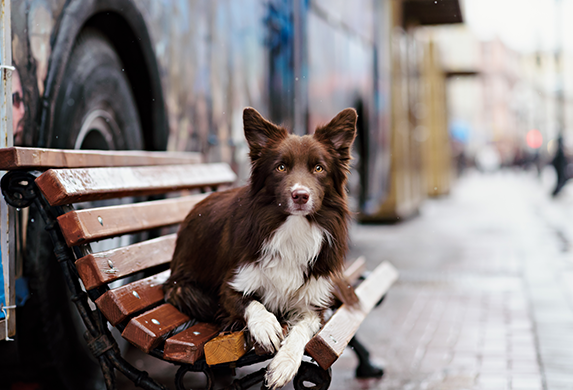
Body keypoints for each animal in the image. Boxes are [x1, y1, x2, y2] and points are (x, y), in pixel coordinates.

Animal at [163, 106, 356, 386]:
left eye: (319, 168)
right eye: (281, 167)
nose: (300, 196)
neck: (292, 229)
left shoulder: (315, 304)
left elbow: (301, 328)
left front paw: (285, 364)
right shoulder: (231, 286)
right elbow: (252, 303)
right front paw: (266, 327)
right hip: (183, 288)